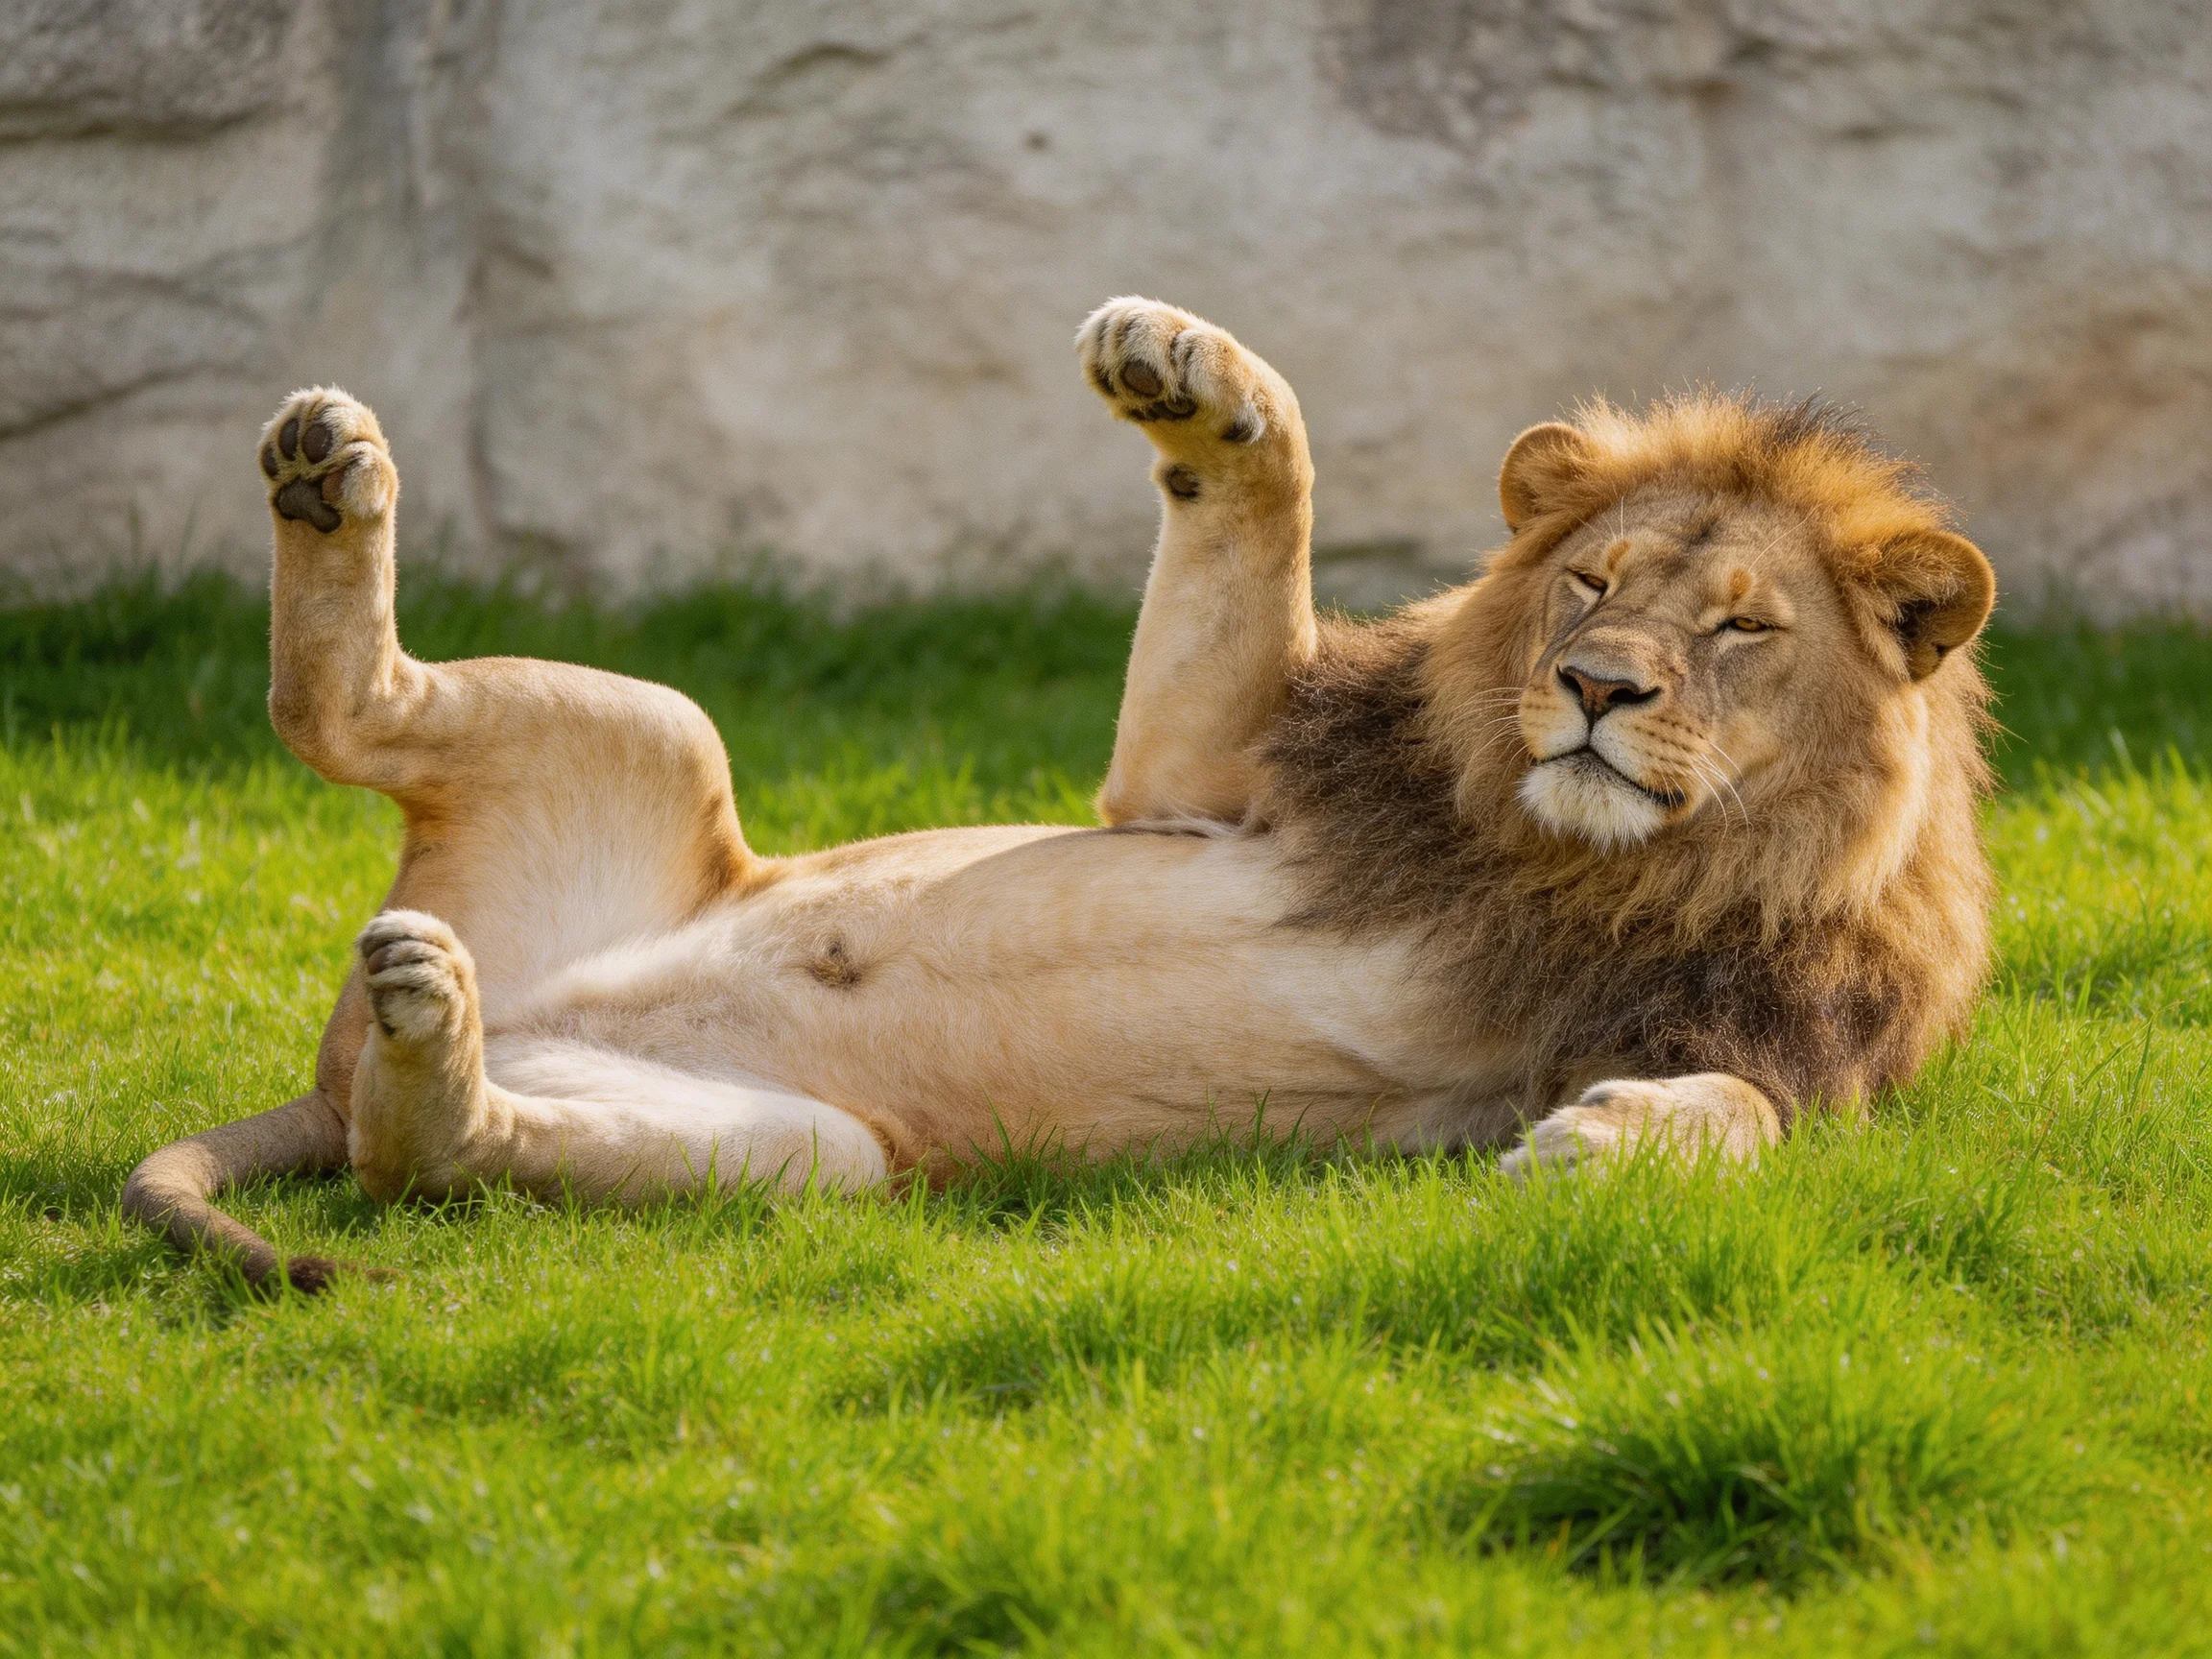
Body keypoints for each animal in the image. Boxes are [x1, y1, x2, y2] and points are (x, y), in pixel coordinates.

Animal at [121, 297, 1997, 1291]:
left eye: (1740, 627)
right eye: (1591, 586)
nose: (1599, 690)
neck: (1592, 863)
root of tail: (331, 1067)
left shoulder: (1812, 1060)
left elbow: (1741, 1113)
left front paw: (1604, 1140)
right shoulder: (1215, 781)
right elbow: (1262, 512)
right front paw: (1190, 376)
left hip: (806, 1166)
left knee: (430, 1160)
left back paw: (437, 1049)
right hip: (657, 728)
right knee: (332, 709)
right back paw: (325, 475)